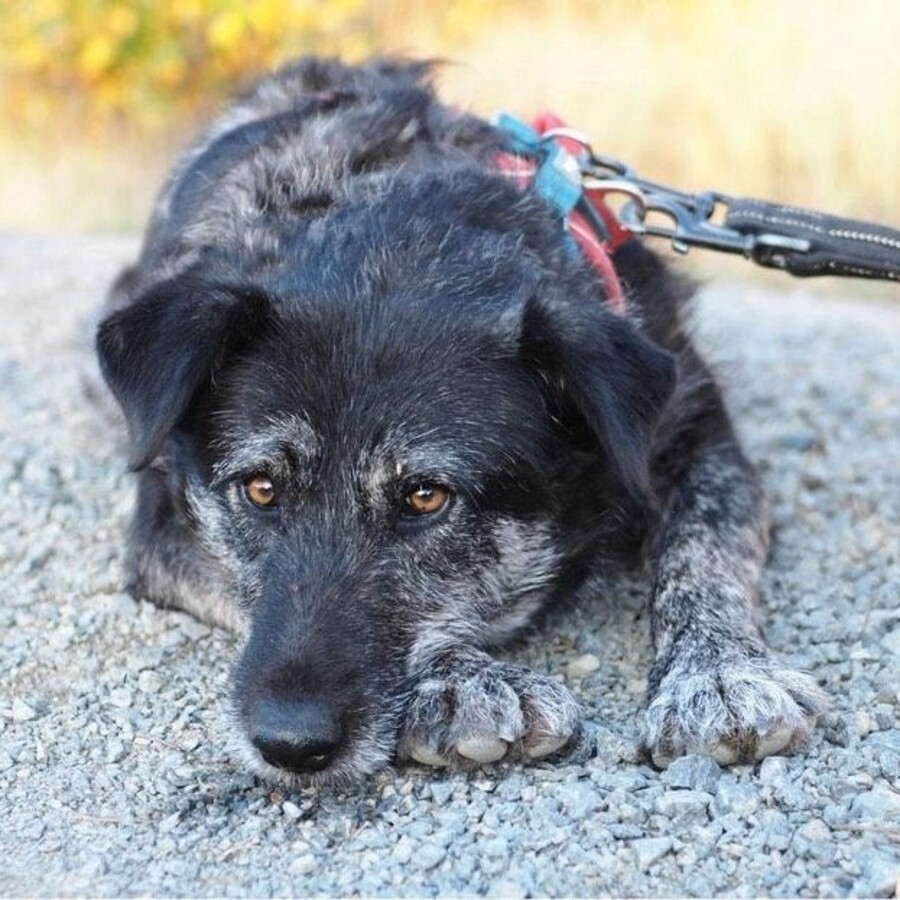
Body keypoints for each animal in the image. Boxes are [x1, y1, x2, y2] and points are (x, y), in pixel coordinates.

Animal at [94, 57, 827, 785]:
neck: (399, 234)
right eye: (260, 489)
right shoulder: (161, 524)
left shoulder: (696, 428)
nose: (289, 743)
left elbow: (705, 542)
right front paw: (460, 680)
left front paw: (719, 673)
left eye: (426, 496)